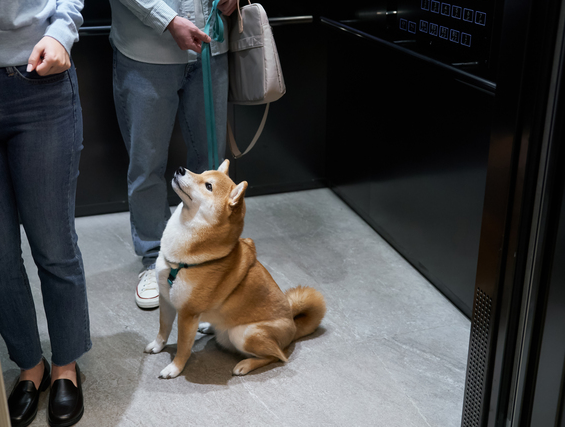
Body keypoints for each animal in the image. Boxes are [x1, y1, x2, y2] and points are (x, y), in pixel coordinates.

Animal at [143, 160, 324, 378]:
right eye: (201, 172)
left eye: (208, 186)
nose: (180, 169)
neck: (180, 261)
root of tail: (293, 327)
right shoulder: (166, 299)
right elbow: (163, 328)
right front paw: (157, 345)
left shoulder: (187, 314)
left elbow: (183, 346)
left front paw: (175, 368)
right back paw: (209, 326)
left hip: (243, 333)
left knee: (278, 356)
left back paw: (245, 364)